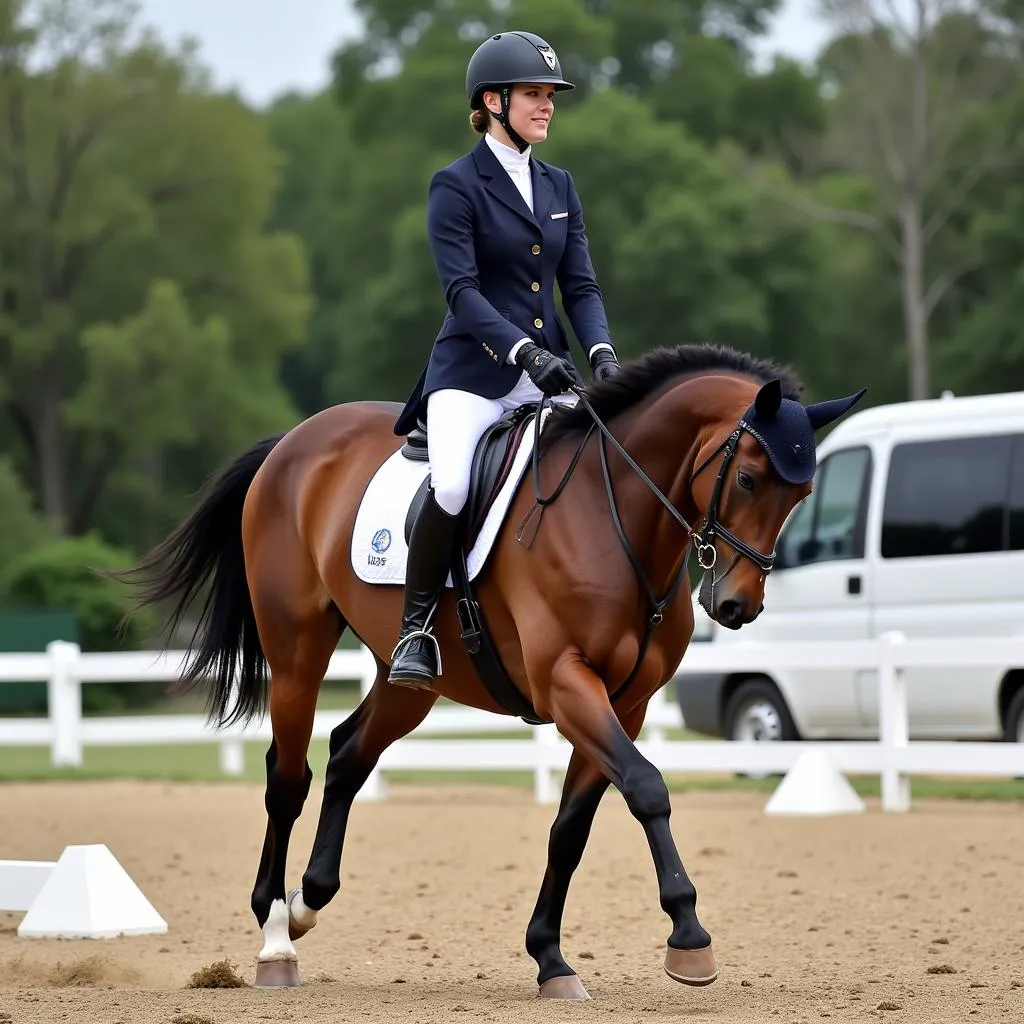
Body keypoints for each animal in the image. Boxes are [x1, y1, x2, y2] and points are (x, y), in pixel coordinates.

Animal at [119, 344, 864, 999]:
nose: (737, 606)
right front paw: (689, 937)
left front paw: (550, 958)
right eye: (748, 478)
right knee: (288, 777)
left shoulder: (625, 704)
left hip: (410, 679)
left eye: (801, 494)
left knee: (349, 753)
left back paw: (309, 900)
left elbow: (572, 828)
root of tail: (293, 441)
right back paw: (276, 936)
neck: (616, 515)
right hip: (298, 649)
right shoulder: (566, 683)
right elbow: (648, 789)